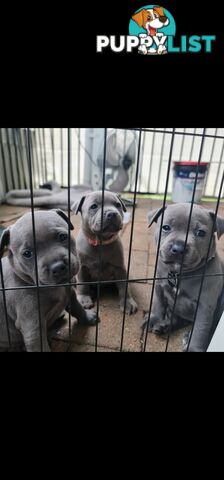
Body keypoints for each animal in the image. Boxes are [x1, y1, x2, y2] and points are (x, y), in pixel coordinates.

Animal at [0, 210, 98, 352]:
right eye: (27, 254)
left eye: (63, 237)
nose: (57, 267)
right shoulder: (33, 328)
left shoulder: (70, 294)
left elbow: (77, 307)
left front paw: (87, 317)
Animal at [143, 202, 224, 352]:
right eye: (166, 227)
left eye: (200, 233)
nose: (178, 248)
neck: (178, 273)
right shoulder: (159, 287)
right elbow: (158, 305)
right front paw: (155, 319)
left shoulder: (205, 306)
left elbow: (200, 329)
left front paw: (193, 348)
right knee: (177, 318)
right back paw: (163, 325)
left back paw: (187, 337)